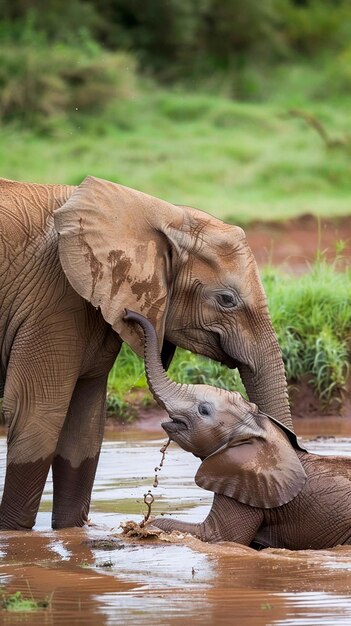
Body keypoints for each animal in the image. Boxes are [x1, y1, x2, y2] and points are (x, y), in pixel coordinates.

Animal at [0, 174, 292, 528]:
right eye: (226, 300)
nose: (132, 316)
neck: (160, 213)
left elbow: (85, 428)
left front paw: (71, 533)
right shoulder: (53, 300)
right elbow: (37, 417)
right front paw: (15, 535)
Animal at [125, 310, 351, 548]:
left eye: (203, 410)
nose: (129, 315)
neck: (259, 429)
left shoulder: (245, 487)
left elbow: (216, 537)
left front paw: (142, 527)